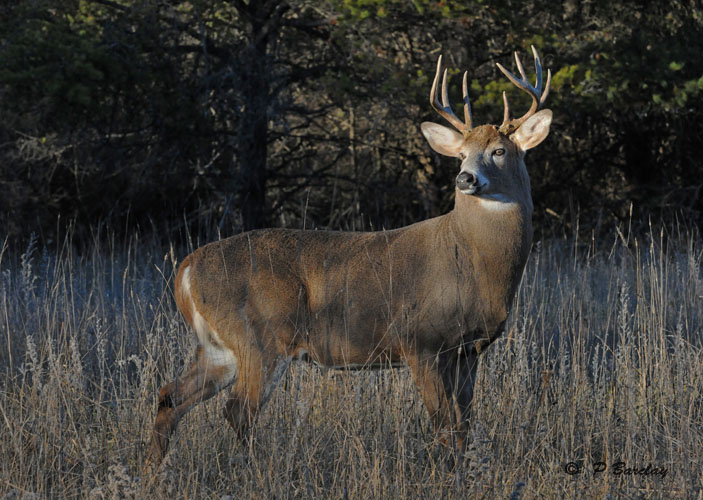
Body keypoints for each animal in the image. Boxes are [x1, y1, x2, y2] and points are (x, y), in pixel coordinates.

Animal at [146, 45, 556, 466]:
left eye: (499, 150)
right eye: (460, 154)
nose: (465, 178)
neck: (475, 262)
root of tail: (186, 270)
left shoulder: (468, 350)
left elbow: (464, 424)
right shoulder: (421, 341)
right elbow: (443, 424)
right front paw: (445, 471)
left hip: (218, 347)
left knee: (170, 397)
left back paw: (152, 470)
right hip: (260, 337)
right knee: (237, 410)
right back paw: (256, 470)